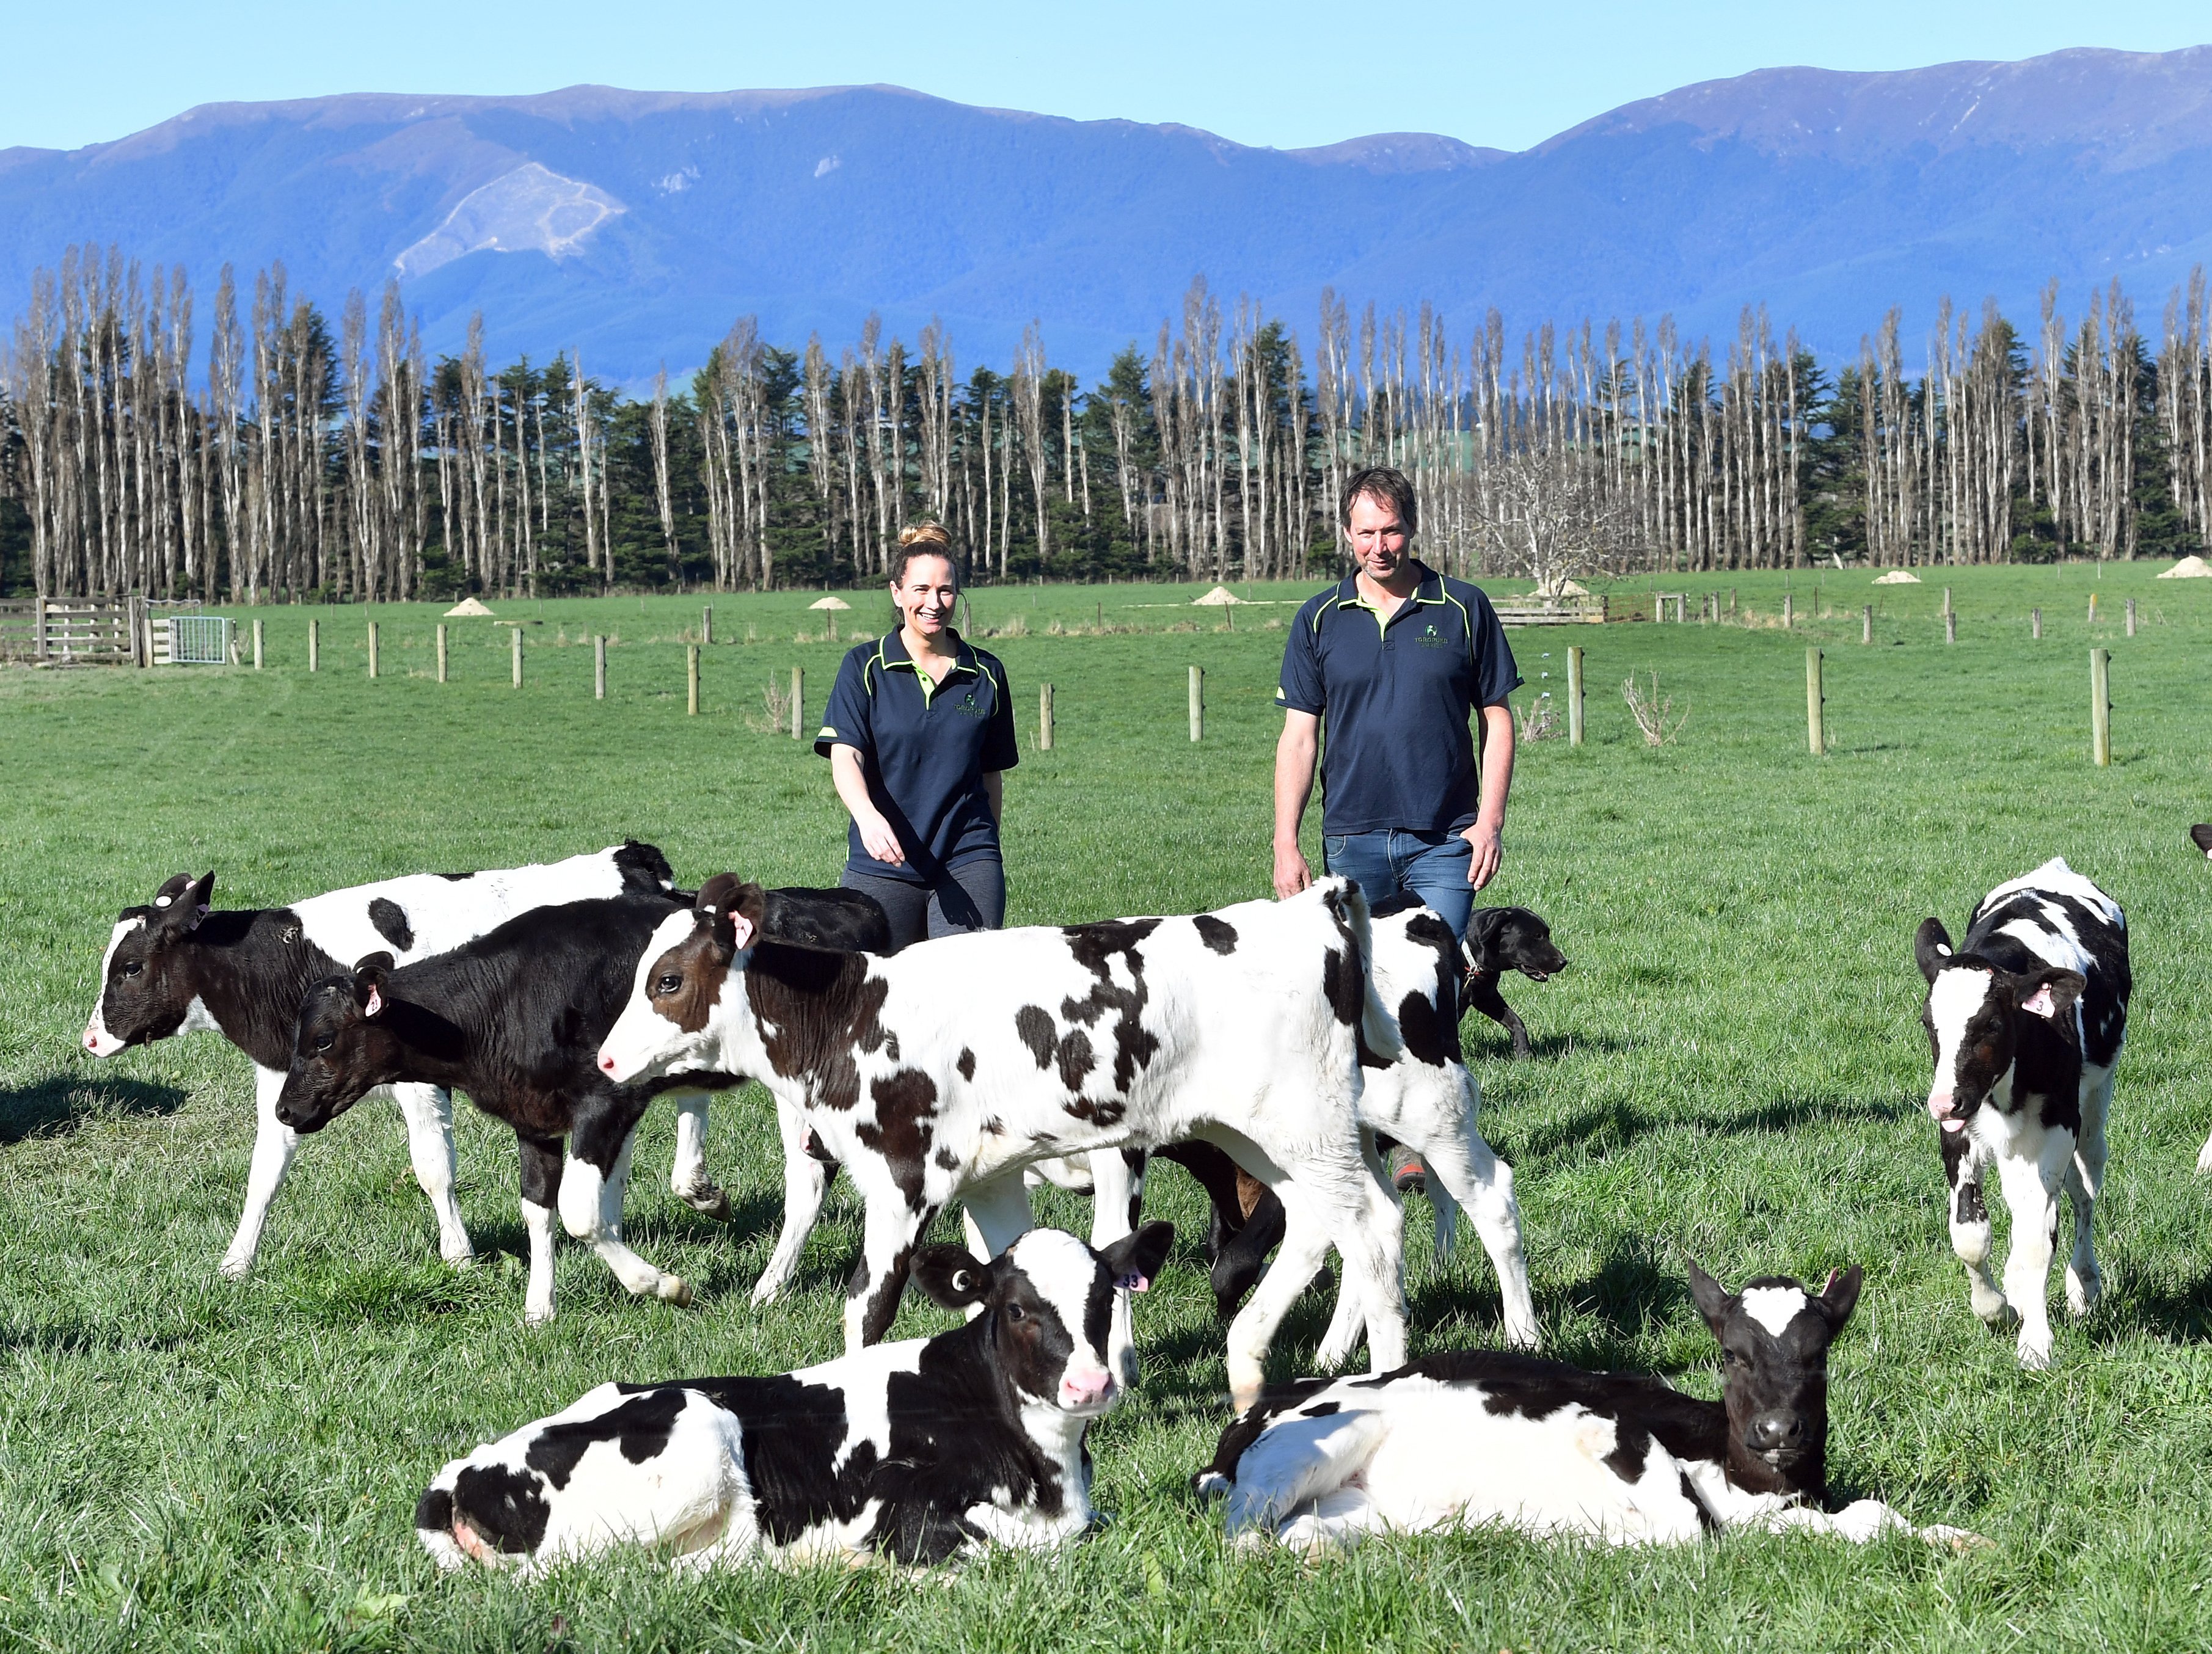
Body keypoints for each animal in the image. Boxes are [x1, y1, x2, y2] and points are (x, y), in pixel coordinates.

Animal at [415, 1220, 1177, 1574]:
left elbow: (1086, 1526)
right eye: (1017, 1308)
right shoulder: (903, 1508)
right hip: (699, 1426)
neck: (1046, 1469)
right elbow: (999, 1540)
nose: (1090, 1384)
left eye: (1106, 1297)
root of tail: (464, 1469)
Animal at [597, 871, 1406, 1406]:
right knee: (1322, 1224)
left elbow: (866, 1307)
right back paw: (1249, 1360)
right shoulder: (988, 1178)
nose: (604, 1059)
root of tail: (1311, 908)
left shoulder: (904, 1180)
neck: (854, 1010)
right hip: (1261, 1135)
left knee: (1369, 1230)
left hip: (1306, 1125)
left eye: (667, 981)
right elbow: (1000, 1280)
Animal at [1203, 1256, 1982, 1556]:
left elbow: (1871, 1514)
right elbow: (1688, 1528)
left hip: (1370, 1510)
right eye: (1732, 1352)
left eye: (1818, 1354)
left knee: (1306, 1530)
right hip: (1311, 1445)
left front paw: (1957, 1538)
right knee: (1243, 1529)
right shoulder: (1604, 1425)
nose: (1777, 1428)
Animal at [1920, 858, 2123, 1362]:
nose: (1942, 1103)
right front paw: (1995, 1309)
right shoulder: (1958, 1131)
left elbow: (2036, 1240)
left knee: (2084, 1191)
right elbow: (1970, 1235)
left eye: (1991, 1023)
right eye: (1928, 1023)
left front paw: (2034, 1345)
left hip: (2093, 1111)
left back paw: (2083, 1285)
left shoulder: (2056, 1129)